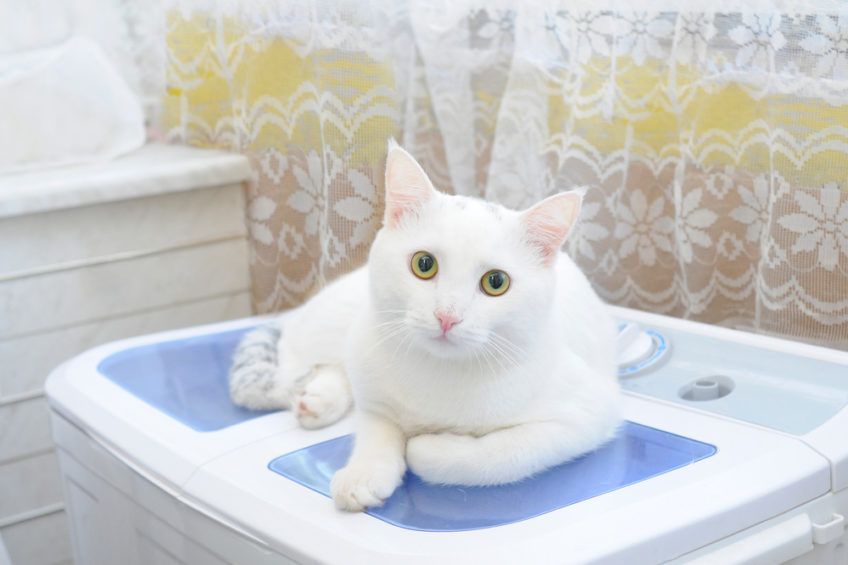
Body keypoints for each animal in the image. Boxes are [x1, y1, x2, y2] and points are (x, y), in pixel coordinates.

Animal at [229, 141, 620, 511]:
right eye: (424, 264)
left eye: (496, 282)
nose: (447, 315)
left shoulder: (586, 416)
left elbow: (499, 454)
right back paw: (317, 401)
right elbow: (376, 426)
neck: (438, 376)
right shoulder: (376, 394)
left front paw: (426, 448)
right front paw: (364, 474)